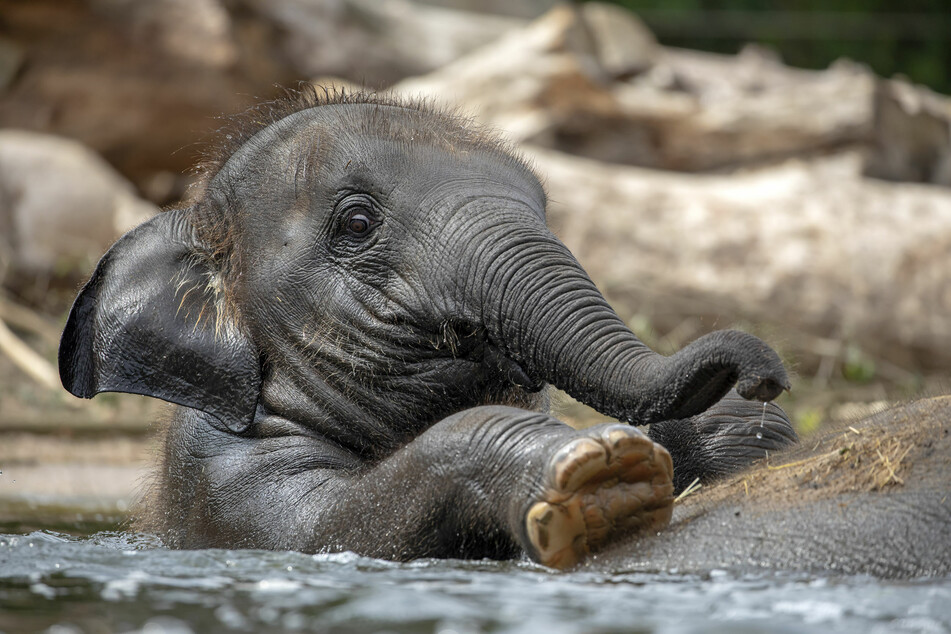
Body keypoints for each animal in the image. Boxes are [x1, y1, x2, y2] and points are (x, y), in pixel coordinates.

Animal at [61, 89, 796, 568]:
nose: (759, 375)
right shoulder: (222, 486)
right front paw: (602, 474)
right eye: (357, 223)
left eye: (544, 207)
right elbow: (337, 531)